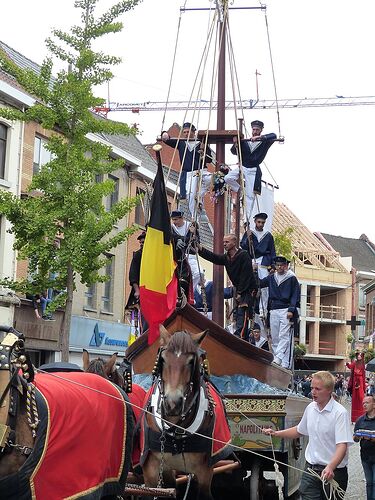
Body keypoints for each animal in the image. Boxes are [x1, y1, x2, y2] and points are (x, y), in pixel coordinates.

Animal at [140, 326, 231, 498]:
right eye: (163, 360)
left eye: (190, 361)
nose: (172, 404)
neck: (175, 428)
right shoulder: (151, 471)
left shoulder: (204, 473)